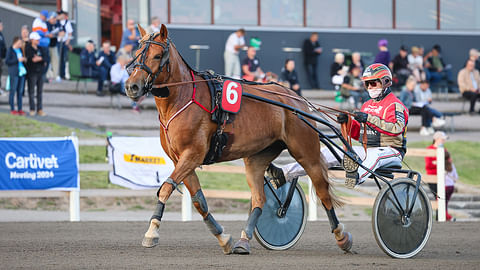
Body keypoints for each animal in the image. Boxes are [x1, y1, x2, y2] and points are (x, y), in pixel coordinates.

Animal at [124, 24, 352, 254]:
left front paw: (151, 232)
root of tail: (297, 98)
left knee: (323, 192)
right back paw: (244, 240)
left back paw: (342, 237)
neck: (183, 97)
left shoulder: (193, 154)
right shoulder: (180, 159)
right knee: (260, 199)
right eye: (136, 53)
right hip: (257, 158)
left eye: (157, 55)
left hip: (307, 153)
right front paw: (224, 238)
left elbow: (166, 188)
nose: (132, 86)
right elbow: (199, 201)